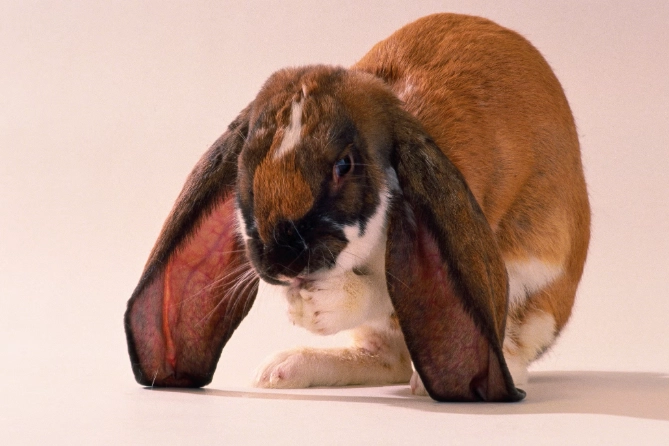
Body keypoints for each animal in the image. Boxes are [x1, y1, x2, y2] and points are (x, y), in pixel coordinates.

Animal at [124, 13, 590, 402]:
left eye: (344, 165)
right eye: (244, 161)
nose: (282, 260)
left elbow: (393, 287)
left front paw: (314, 305)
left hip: (536, 287)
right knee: (387, 358)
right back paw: (283, 368)